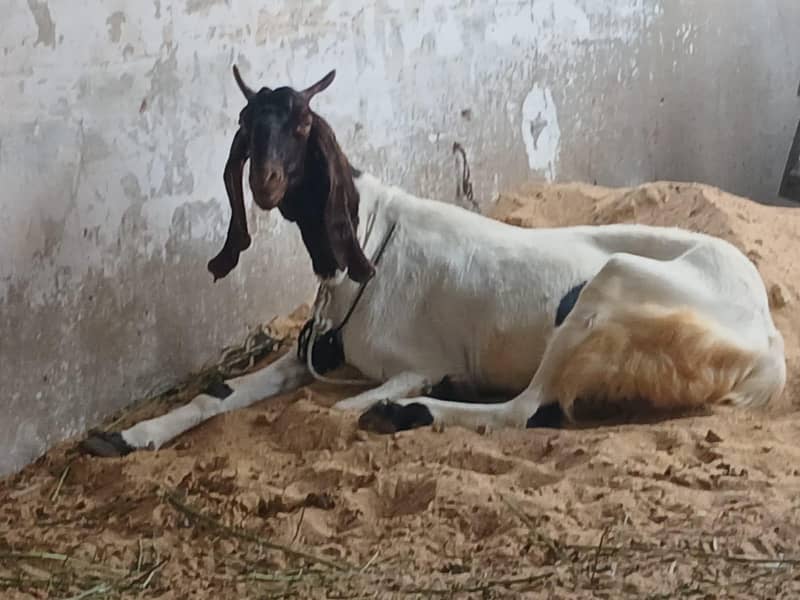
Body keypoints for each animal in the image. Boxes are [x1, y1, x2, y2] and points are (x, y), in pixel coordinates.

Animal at [81, 66, 787, 458]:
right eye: (247, 125)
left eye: (304, 124)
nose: (266, 183)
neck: (366, 244)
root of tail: (767, 341)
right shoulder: (310, 351)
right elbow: (220, 393)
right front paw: (126, 437)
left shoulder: (417, 362)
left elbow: (337, 411)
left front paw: (404, 401)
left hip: (611, 291)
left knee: (526, 408)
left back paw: (411, 413)